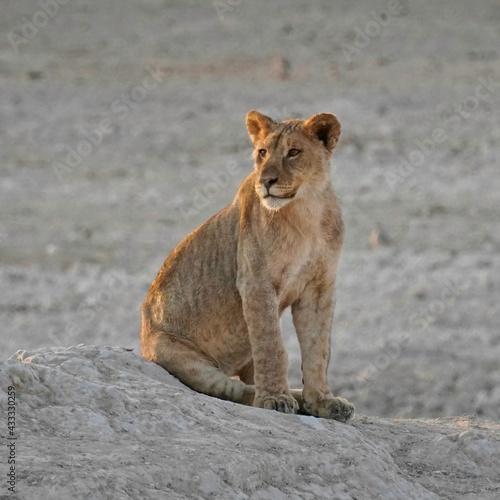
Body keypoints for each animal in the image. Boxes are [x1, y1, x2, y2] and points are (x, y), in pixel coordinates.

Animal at [139, 110, 354, 422]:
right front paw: (275, 399)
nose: (266, 181)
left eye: (293, 152)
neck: (306, 211)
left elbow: (318, 349)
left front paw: (323, 402)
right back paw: (285, 397)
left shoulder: (318, 288)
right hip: (174, 353)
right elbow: (272, 346)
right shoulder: (256, 283)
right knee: (234, 390)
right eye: (262, 152)